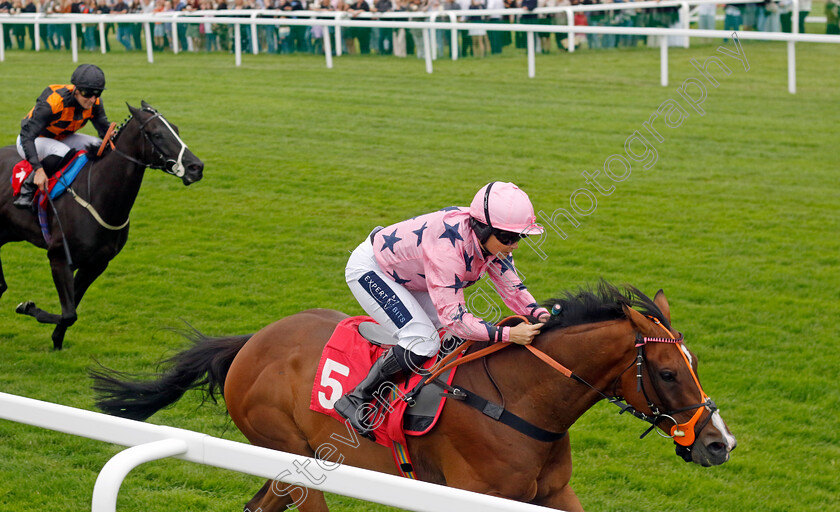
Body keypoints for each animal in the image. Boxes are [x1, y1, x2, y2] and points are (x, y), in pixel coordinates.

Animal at [0, 101, 203, 348]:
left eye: (176, 129)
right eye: (156, 134)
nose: (196, 167)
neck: (97, 193)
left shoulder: (96, 264)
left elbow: (70, 312)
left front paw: (56, 340)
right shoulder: (59, 258)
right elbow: (69, 313)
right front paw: (27, 307)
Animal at [92, 284, 736, 512]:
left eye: (694, 365)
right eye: (668, 373)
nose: (718, 443)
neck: (524, 404)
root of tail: (252, 341)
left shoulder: (552, 494)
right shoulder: (474, 497)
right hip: (296, 458)